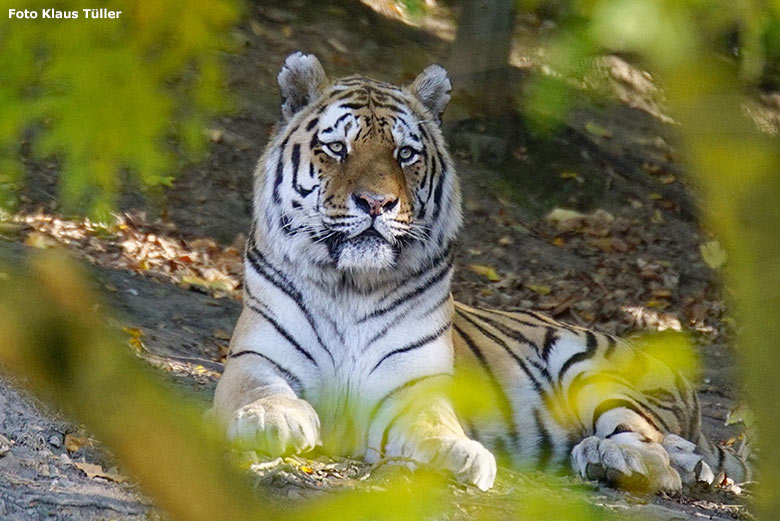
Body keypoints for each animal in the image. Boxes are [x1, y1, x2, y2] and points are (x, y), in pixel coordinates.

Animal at [209, 51, 748, 492]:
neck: (350, 285)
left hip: (591, 369)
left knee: (654, 451)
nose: (377, 203)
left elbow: (433, 424)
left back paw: (614, 458)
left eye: (405, 154)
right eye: (337, 148)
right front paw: (273, 420)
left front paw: (459, 454)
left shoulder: (414, 386)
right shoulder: (257, 359)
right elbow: (261, 392)